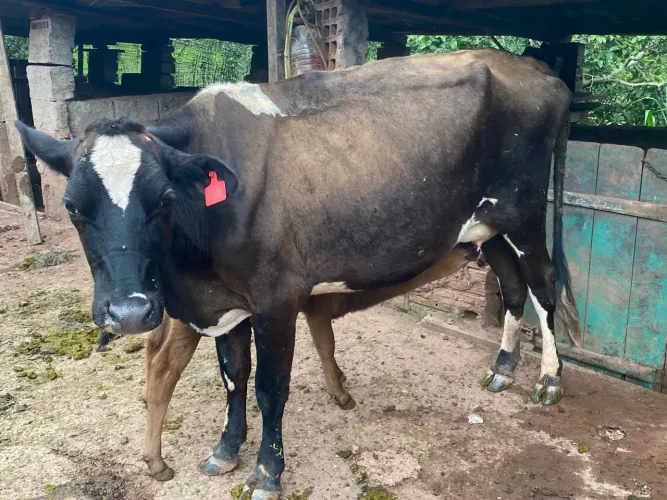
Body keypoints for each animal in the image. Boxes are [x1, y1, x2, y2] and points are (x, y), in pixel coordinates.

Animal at [16, 48, 581, 499]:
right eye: (72, 206)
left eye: (163, 200)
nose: (130, 311)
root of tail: (534, 68)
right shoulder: (229, 303)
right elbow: (233, 376)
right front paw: (225, 451)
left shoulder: (276, 299)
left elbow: (270, 387)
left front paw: (268, 474)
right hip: (488, 226)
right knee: (512, 286)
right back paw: (502, 368)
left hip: (524, 213)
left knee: (543, 284)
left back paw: (549, 379)